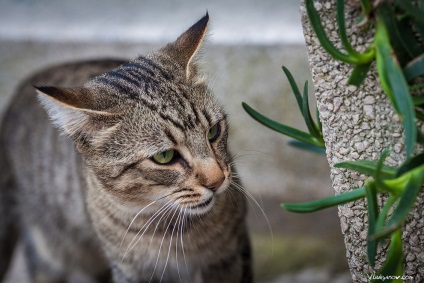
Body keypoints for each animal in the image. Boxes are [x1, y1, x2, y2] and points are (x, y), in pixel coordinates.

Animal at [0, 14, 252, 282]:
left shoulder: (231, 255)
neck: (172, 232)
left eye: (213, 131)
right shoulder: (128, 271)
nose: (217, 180)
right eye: (165, 156)